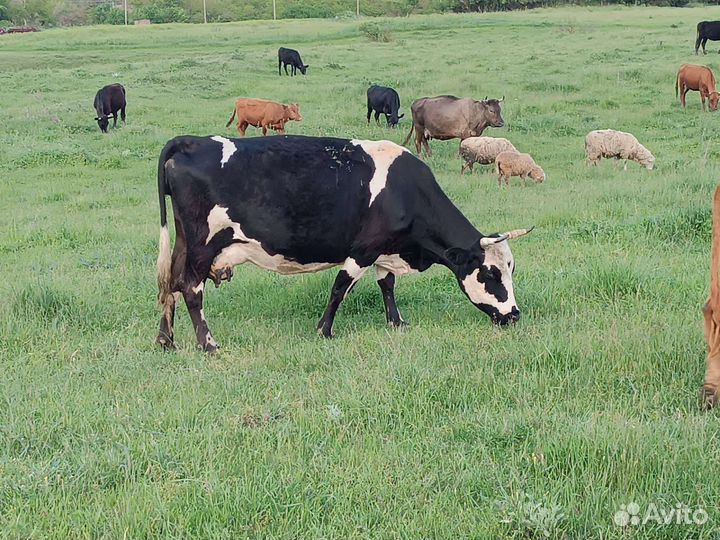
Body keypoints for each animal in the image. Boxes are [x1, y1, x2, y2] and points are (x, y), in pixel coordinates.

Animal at [155, 135, 533, 352]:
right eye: (491, 274)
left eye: (511, 270)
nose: (514, 314)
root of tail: (191, 141)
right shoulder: (363, 249)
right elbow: (340, 287)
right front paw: (324, 331)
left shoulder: (385, 250)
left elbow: (387, 285)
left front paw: (396, 322)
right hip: (203, 243)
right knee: (190, 288)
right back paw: (207, 343)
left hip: (184, 242)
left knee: (170, 284)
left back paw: (166, 340)